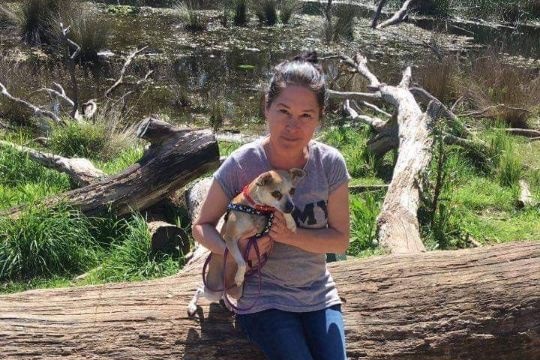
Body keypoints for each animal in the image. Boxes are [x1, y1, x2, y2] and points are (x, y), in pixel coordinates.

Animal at [188, 169, 306, 316]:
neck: (257, 208)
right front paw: (239, 276)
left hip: (236, 292)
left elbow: (278, 210)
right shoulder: (230, 238)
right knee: (200, 290)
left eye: (292, 191)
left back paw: (228, 305)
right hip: (213, 290)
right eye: (276, 193)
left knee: (224, 294)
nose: (291, 207)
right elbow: (242, 261)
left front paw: (291, 222)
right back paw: (192, 305)